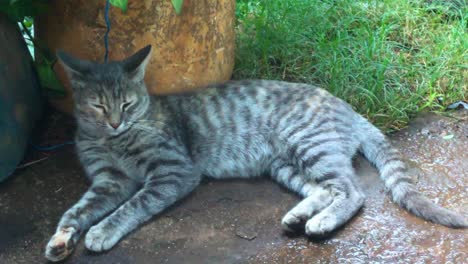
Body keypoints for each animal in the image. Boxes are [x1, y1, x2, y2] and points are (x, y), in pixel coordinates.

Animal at [44, 46, 468, 262]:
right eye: (99, 106)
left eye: (127, 104)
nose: (116, 122)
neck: (110, 141)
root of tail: (346, 106)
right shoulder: (108, 181)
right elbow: (75, 210)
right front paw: (62, 239)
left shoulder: (172, 171)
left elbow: (131, 207)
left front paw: (101, 231)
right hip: (286, 164)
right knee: (324, 190)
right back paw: (298, 217)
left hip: (308, 145)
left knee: (352, 192)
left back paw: (320, 224)